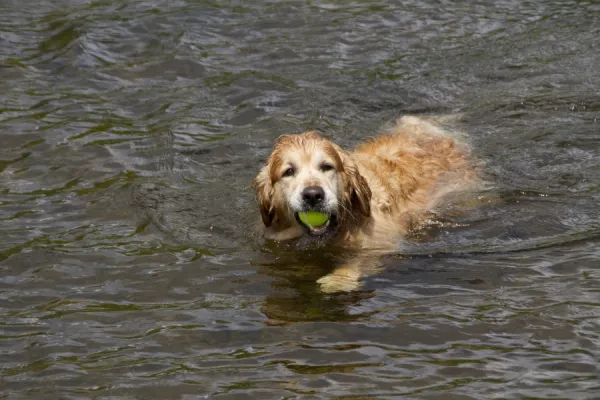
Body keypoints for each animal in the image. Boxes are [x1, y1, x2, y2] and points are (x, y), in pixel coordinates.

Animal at [251, 115, 480, 294]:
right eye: (289, 171)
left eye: (327, 166)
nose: (313, 195)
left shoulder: (380, 240)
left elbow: (359, 260)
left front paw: (338, 279)